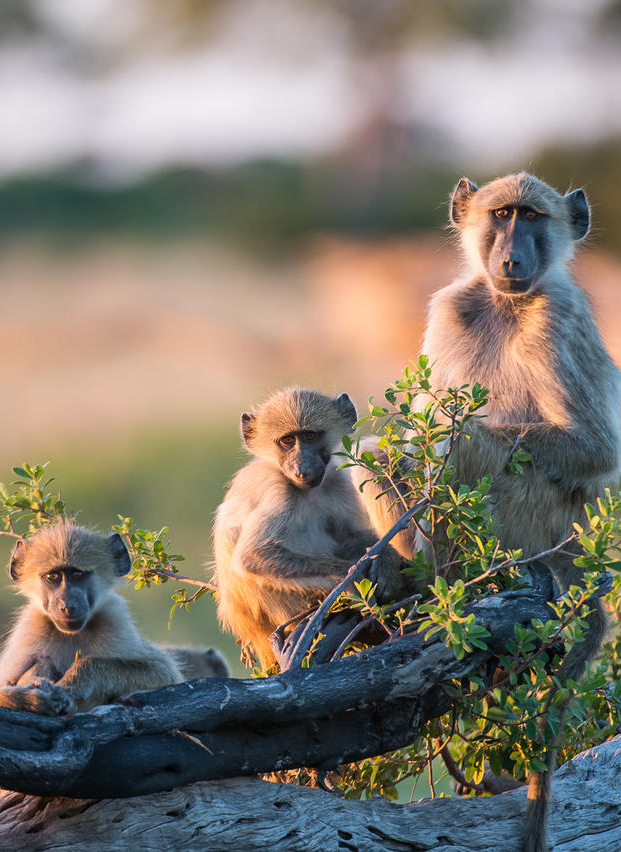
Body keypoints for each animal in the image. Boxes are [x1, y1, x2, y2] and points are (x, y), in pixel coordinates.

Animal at [0, 521, 186, 715]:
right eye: (53, 577)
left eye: (77, 575)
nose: (67, 606)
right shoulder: (30, 629)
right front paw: (30, 695)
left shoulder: (115, 620)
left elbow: (163, 671)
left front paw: (72, 684)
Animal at [212, 387, 407, 670]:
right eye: (286, 441)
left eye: (310, 436)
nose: (301, 468)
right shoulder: (277, 490)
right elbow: (254, 556)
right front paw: (351, 580)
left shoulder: (336, 479)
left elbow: (350, 536)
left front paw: (387, 560)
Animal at [352, 172, 621, 852]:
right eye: (501, 217)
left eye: (532, 217)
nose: (512, 261)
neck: (508, 305)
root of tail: (576, 552)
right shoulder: (452, 306)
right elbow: (406, 430)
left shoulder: (558, 319)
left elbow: (594, 448)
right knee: (377, 455)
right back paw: (420, 578)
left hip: (537, 526)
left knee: (471, 446)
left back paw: (468, 582)